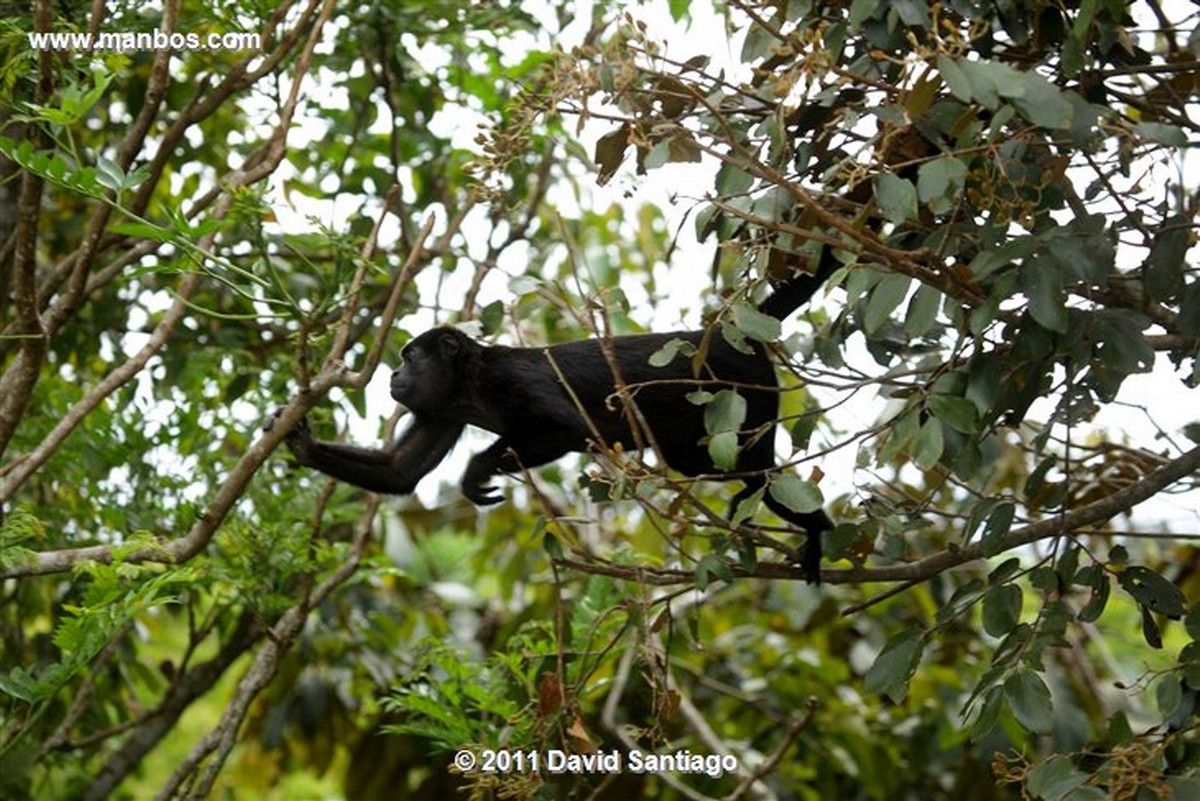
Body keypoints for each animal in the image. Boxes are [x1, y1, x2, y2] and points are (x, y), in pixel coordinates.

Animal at [276, 262, 835, 582]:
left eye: (411, 357)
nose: (393, 374)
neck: (470, 384)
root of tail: (731, 335)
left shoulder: (511, 380)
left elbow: (568, 428)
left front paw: (476, 472)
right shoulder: (442, 409)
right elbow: (400, 471)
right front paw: (300, 443)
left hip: (746, 393)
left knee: (761, 473)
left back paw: (817, 531)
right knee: (707, 466)